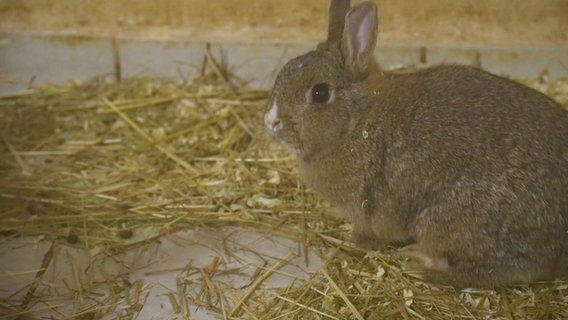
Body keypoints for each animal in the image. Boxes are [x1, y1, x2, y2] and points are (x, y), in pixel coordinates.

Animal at [266, 0, 568, 288]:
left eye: (320, 93)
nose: (271, 122)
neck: (355, 122)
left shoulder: (366, 209)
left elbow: (364, 238)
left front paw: (342, 247)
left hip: (449, 223)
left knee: (482, 273)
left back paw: (419, 260)